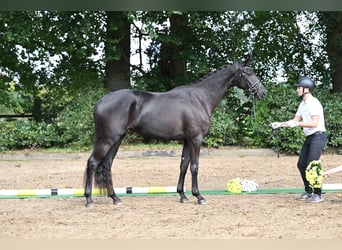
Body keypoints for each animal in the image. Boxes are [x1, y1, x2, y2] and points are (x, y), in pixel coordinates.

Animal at [84, 60, 266, 207]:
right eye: (248, 72)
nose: (262, 93)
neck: (201, 99)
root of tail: (100, 102)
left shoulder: (187, 140)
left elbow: (183, 166)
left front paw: (183, 195)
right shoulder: (196, 139)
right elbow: (194, 167)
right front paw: (199, 197)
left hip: (116, 140)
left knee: (107, 165)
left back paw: (115, 198)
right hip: (107, 140)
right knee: (92, 163)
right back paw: (89, 200)